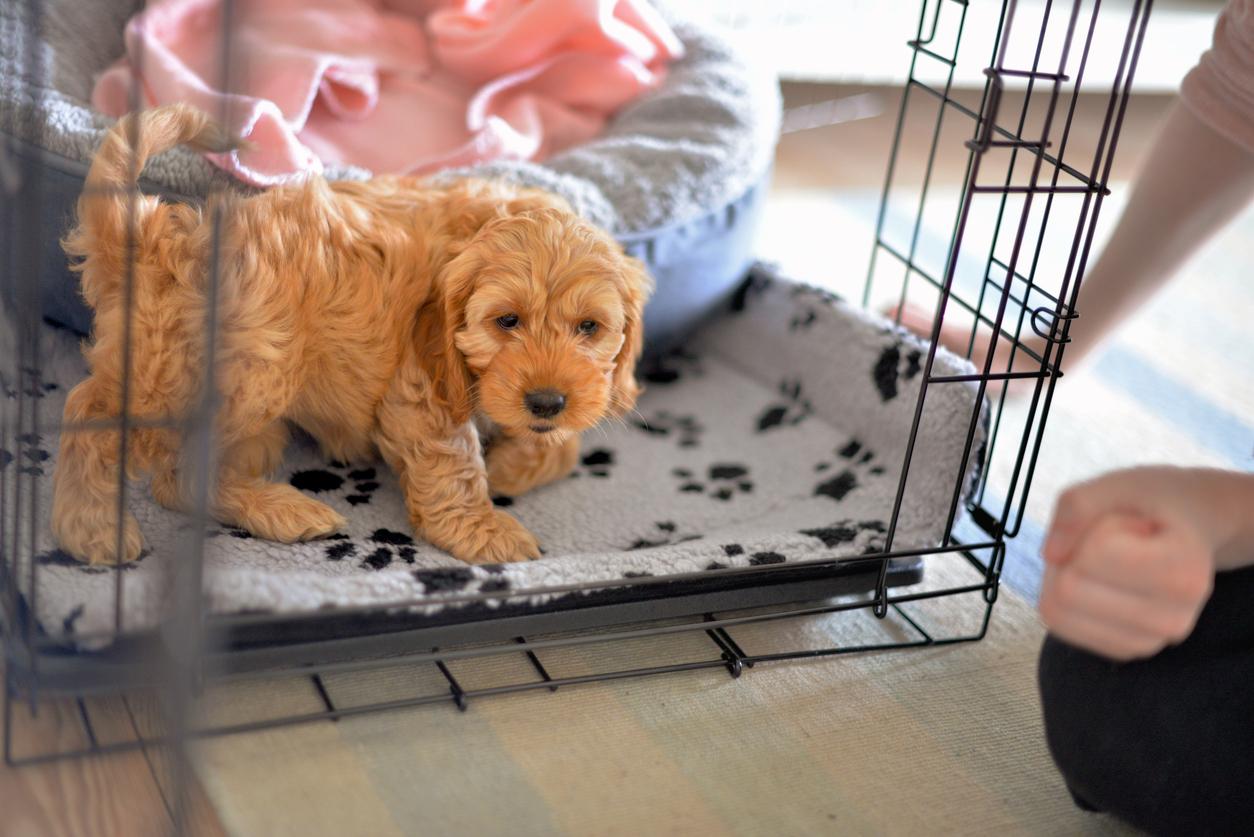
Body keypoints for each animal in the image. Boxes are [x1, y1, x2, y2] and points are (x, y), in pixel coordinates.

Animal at [52, 102, 652, 562]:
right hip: (228, 371)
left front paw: (511, 464)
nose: (546, 401)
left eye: (590, 328)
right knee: (103, 424)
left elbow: (565, 443)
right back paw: (92, 529)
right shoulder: (419, 392)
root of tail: (153, 232)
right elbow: (455, 464)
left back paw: (280, 509)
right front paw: (484, 530)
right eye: (506, 321)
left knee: (184, 476)